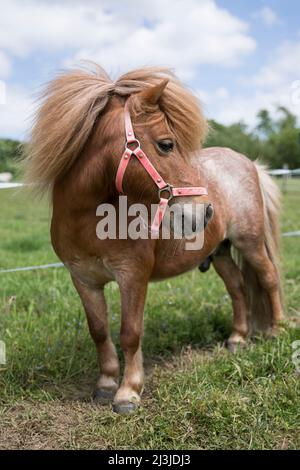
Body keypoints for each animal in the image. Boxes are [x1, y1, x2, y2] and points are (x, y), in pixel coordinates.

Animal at [24, 64, 284, 414]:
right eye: (166, 144)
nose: (205, 212)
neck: (89, 221)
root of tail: (249, 163)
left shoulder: (133, 275)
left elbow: (130, 332)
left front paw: (129, 392)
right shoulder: (83, 280)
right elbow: (99, 330)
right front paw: (106, 383)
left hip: (250, 242)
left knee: (268, 278)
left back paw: (278, 330)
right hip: (220, 252)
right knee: (238, 287)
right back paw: (237, 339)